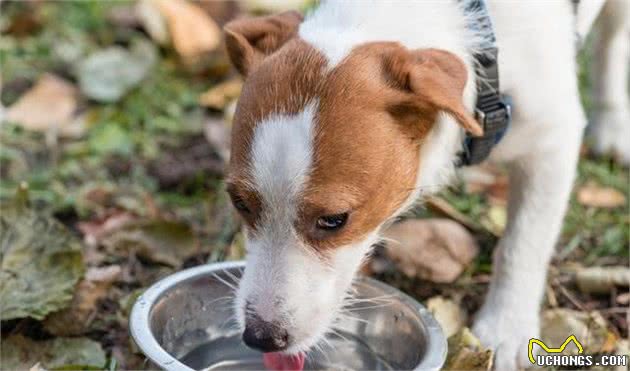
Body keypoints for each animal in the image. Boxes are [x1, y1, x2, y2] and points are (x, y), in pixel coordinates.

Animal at [221, 1, 628, 370]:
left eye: (335, 220)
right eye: (238, 202)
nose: (260, 337)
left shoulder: (552, 142)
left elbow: (521, 246)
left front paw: (506, 327)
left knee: (613, 35)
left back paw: (611, 121)